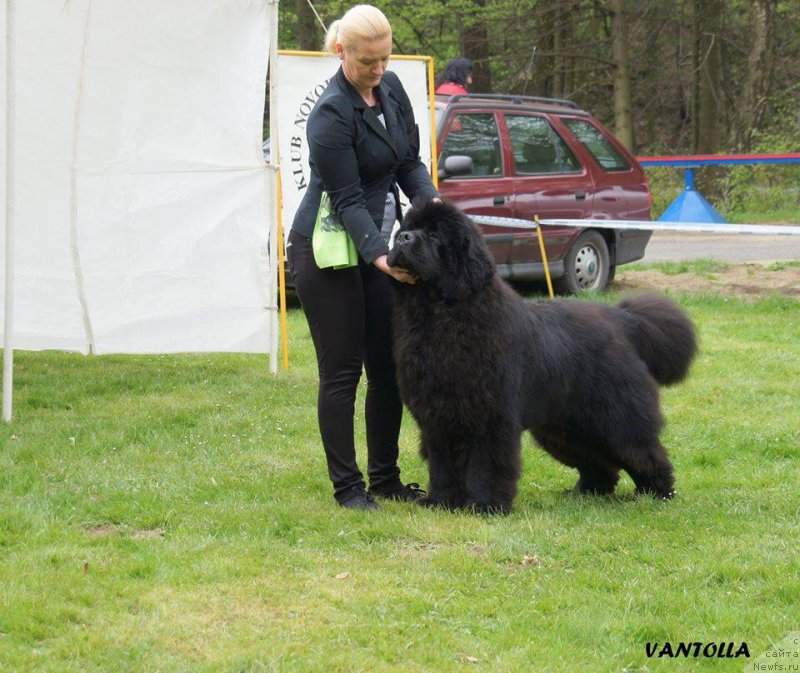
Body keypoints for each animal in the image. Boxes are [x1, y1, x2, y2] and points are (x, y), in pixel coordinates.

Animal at [386, 198, 692, 510]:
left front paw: (486, 505)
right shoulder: (436, 415)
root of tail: (621, 319)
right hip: (564, 428)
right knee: (600, 461)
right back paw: (587, 491)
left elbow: (486, 463)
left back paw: (657, 494)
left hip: (615, 417)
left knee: (643, 452)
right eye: (409, 227)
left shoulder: (491, 416)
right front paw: (440, 501)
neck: (441, 312)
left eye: (435, 236)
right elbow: (442, 464)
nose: (402, 237)